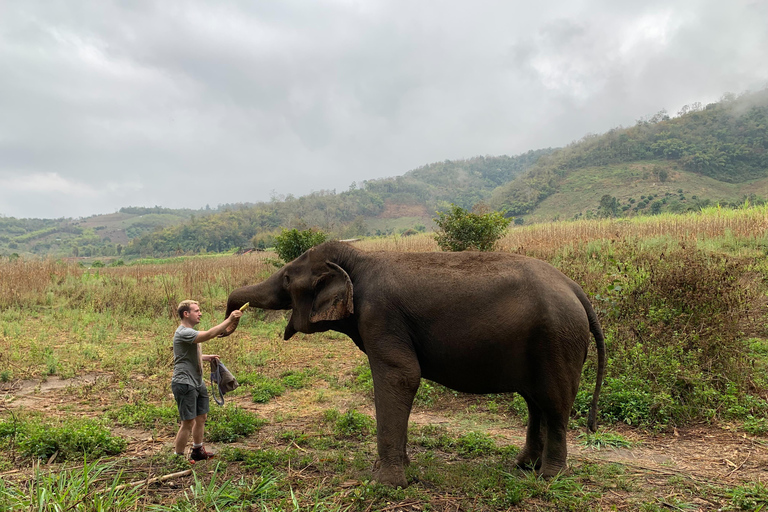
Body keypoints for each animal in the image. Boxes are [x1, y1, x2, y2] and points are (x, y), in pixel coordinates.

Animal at [220, 241, 606, 487]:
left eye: (287, 278)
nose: (230, 319)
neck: (358, 259)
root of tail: (576, 288)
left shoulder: (380, 316)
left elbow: (401, 376)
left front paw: (385, 483)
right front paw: (399, 471)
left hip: (557, 339)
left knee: (553, 403)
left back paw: (549, 477)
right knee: (534, 401)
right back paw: (524, 465)